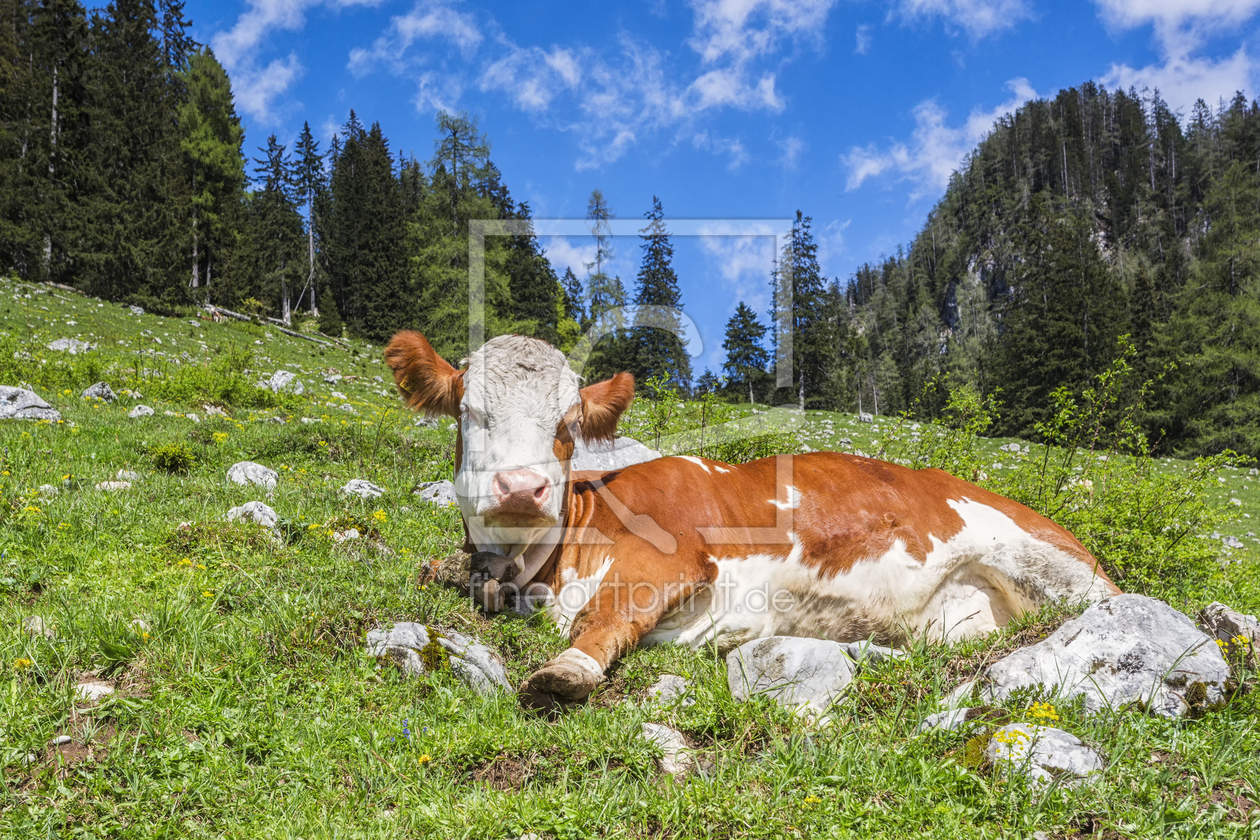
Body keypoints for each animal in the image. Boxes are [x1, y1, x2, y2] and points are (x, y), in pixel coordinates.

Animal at [380, 327, 1113, 710]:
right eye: (468, 414)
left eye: (566, 426)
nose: (522, 487)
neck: (549, 570)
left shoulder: (673, 554)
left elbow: (608, 614)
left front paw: (568, 670)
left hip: (1048, 566)